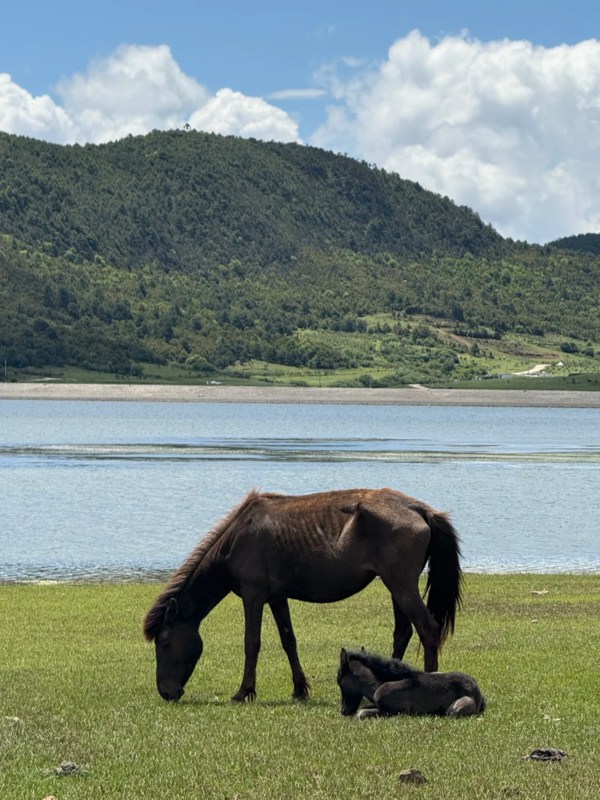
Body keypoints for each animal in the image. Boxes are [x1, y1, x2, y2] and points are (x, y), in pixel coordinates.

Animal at [143, 487, 463, 702]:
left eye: (165, 642)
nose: (166, 692)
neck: (237, 537)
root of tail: (418, 509)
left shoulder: (253, 595)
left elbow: (252, 642)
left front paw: (243, 692)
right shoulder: (276, 597)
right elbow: (289, 641)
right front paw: (299, 689)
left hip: (401, 584)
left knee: (427, 629)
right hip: (395, 586)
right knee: (403, 632)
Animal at [337, 648, 485, 718]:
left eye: (339, 681)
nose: (343, 711)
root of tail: (477, 690)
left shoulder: (397, 711)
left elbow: (361, 713)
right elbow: (363, 708)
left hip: (454, 709)